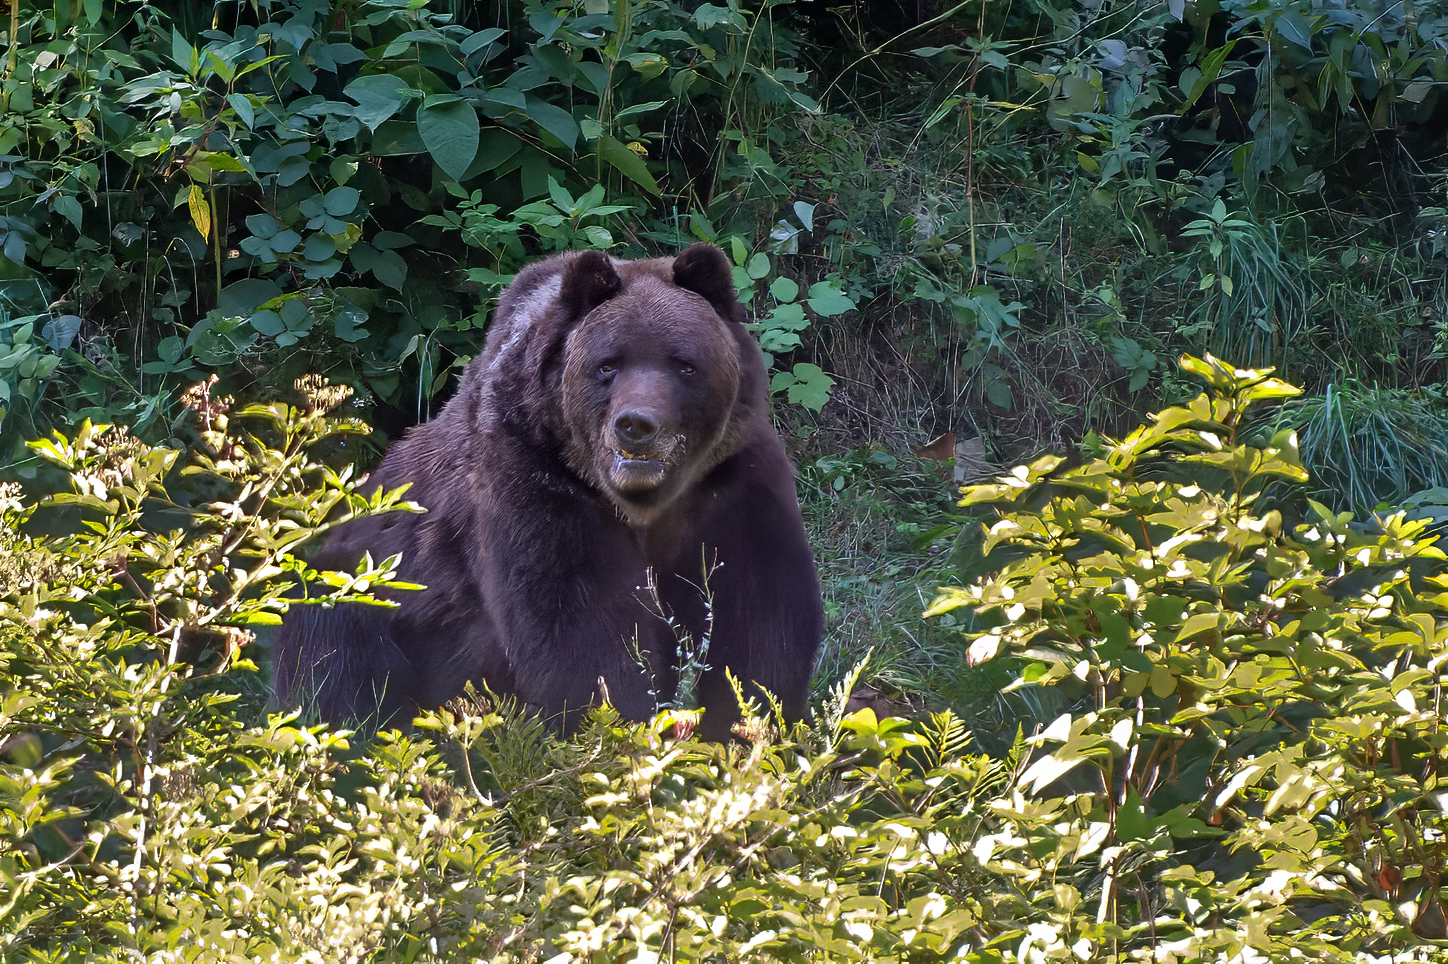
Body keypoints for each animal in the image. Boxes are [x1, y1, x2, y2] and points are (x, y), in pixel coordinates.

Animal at [273, 243, 825, 741]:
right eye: (608, 363)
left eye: (683, 363)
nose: (636, 425)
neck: (643, 504)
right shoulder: (537, 476)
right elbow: (580, 630)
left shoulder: (729, 481)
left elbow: (756, 612)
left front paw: (744, 726)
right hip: (360, 586)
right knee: (337, 659)